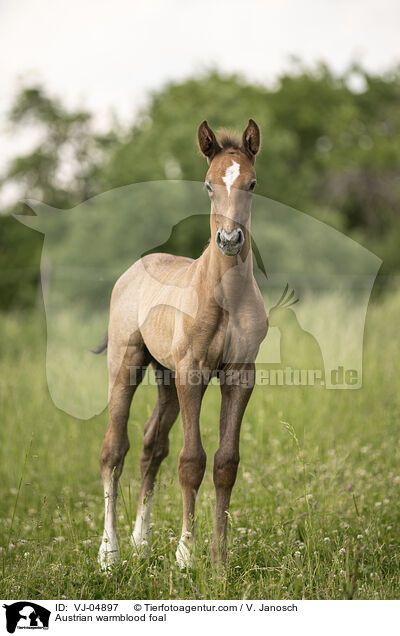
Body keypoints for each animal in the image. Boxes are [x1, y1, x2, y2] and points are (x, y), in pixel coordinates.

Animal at [98, 117, 268, 568]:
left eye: (252, 183)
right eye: (209, 185)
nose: (229, 239)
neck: (224, 296)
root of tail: (136, 268)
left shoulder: (239, 376)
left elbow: (226, 463)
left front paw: (219, 560)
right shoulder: (192, 373)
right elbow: (192, 461)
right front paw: (186, 555)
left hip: (165, 378)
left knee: (150, 446)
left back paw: (141, 543)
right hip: (127, 364)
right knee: (114, 450)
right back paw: (109, 553)